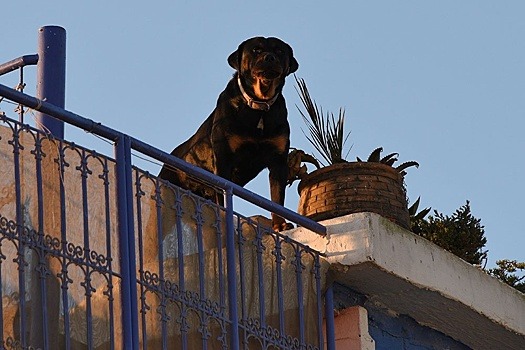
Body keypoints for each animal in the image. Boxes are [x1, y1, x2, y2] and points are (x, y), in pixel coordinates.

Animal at [160, 37, 296, 231]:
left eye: (279, 51)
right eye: (256, 50)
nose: (269, 57)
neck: (258, 108)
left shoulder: (278, 161)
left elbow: (277, 198)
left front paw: (280, 224)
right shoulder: (223, 157)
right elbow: (223, 196)